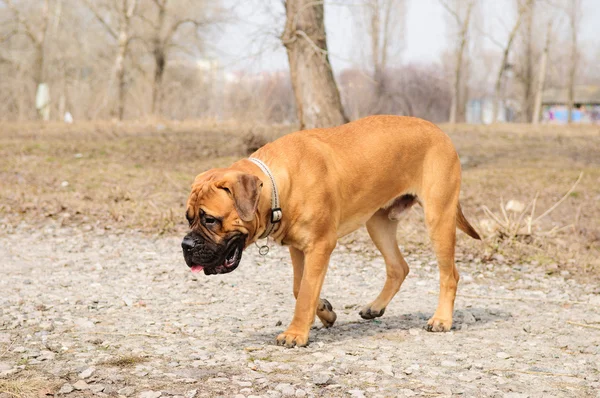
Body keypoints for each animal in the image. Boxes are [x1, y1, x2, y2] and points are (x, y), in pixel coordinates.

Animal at [180, 116, 480, 348]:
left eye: (210, 220)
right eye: (188, 218)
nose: (186, 245)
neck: (278, 184)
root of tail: (441, 133)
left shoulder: (320, 245)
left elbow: (305, 292)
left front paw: (295, 334)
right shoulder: (298, 247)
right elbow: (299, 287)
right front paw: (324, 310)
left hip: (438, 217)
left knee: (449, 274)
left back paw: (441, 320)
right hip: (378, 222)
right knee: (399, 267)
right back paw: (375, 307)